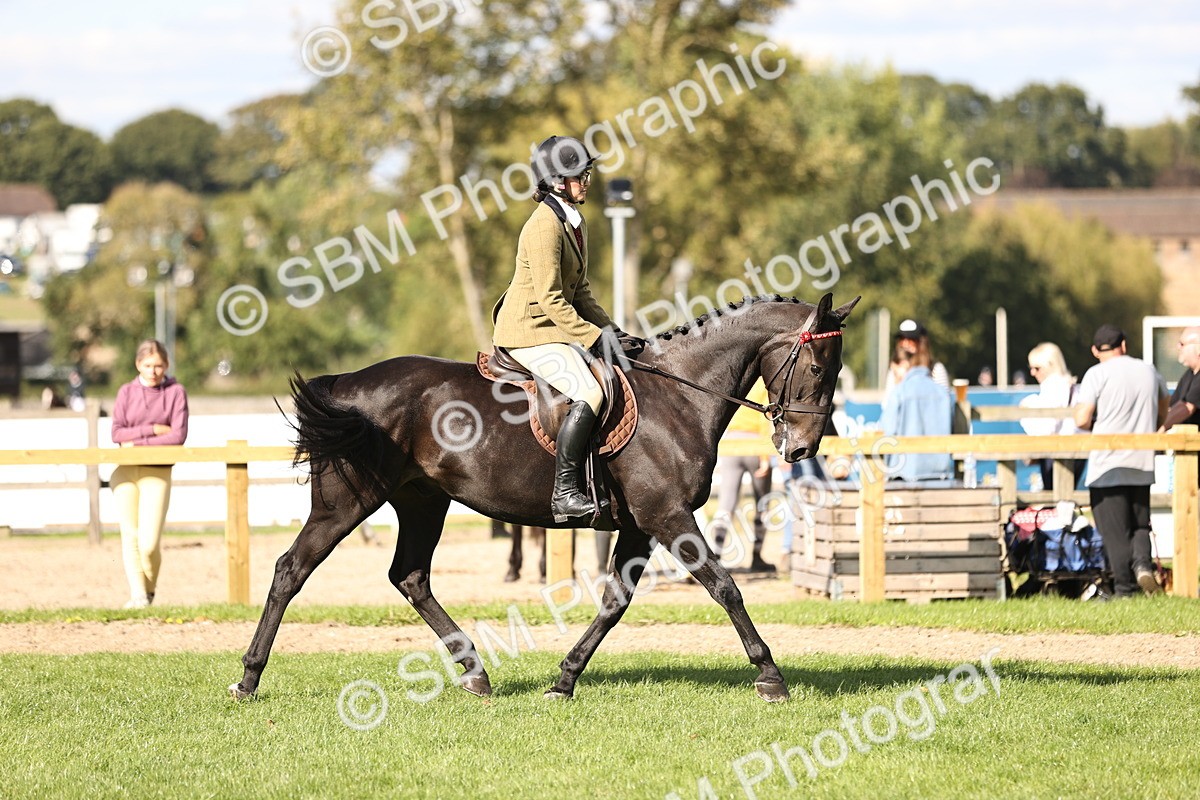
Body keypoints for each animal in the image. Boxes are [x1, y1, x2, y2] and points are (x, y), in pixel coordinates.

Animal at [230, 292, 858, 703]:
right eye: (818, 366)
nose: (802, 447)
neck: (679, 396)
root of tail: (344, 383)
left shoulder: (640, 524)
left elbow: (614, 602)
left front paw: (564, 679)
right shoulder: (667, 515)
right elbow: (725, 587)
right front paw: (770, 675)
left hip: (423, 501)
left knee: (410, 577)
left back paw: (475, 673)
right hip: (346, 504)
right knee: (291, 569)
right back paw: (249, 678)